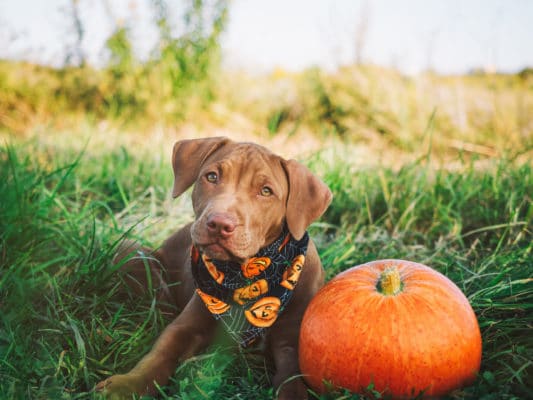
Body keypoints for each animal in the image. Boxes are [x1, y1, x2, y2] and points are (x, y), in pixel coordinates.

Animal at [95, 137, 328, 396]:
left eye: (266, 191)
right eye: (212, 176)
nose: (219, 224)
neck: (245, 275)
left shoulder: (291, 342)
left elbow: (291, 380)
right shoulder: (186, 326)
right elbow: (159, 355)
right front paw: (126, 385)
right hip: (131, 251)